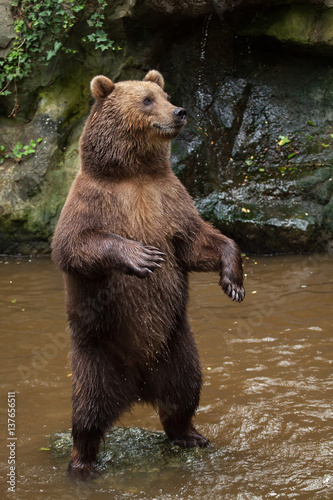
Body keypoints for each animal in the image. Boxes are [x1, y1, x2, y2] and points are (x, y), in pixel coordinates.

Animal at [52, 68, 244, 478]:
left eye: (165, 95)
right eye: (146, 99)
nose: (180, 111)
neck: (134, 174)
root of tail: (138, 387)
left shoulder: (170, 201)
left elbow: (197, 242)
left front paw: (233, 281)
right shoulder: (92, 201)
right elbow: (75, 245)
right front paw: (143, 257)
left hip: (176, 347)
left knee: (184, 391)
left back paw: (189, 434)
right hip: (97, 353)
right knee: (88, 411)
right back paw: (82, 462)